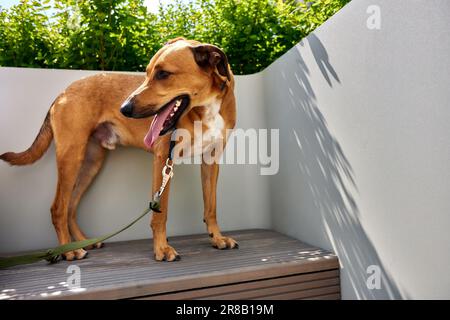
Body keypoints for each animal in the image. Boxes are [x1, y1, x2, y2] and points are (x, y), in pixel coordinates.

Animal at [0, 38, 237, 262]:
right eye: (147, 73)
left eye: (163, 74)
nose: (124, 108)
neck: (206, 107)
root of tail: (63, 93)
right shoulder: (163, 159)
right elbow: (160, 214)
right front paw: (162, 249)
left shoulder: (211, 160)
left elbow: (211, 207)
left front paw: (217, 237)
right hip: (70, 158)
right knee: (58, 207)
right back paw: (69, 251)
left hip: (90, 164)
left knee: (71, 207)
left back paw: (82, 242)